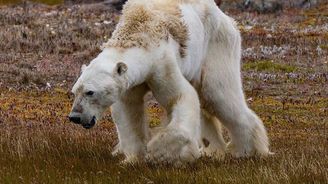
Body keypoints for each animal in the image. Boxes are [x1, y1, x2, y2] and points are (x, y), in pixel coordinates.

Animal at [68, 0, 270, 164]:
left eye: (90, 92)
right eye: (75, 91)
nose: (74, 117)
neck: (138, 32)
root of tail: (224, 16)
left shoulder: (161, 63)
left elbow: (180, 97)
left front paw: (160, 152)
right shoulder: (129, 83)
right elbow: (128, 110)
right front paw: (132, 159)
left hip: (216, 45)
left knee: (218, 94)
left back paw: (247, 151)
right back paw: (212, 150)